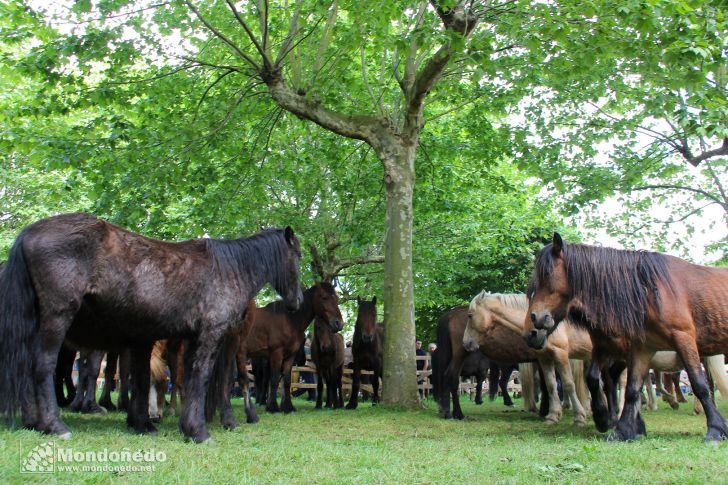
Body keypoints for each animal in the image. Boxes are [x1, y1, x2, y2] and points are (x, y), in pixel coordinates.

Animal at [0, 212, 302, 442]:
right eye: (298, 256)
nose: (297, 301)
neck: (229, 270)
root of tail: (29, 232)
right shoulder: (210, 336)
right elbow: (200, 379)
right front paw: (198, 431)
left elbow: (173, 380)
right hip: (57, 318)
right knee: (43, 365)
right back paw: (55, 425)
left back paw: (35, 421)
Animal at [236, 282, 344, 418]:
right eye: (324, 297)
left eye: (336, 298)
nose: (339, 324)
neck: (290, 320)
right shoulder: (276, 354)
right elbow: (274, 380)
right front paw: (273, 408)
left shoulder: (290, 357)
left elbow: (286, 381)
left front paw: (288, 407)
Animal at [464, 292, 596, 424]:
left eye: (470, 315)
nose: (465, 342)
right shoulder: (544, 357)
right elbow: (551, 385)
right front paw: (553, 416)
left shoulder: (561, 354)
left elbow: (568, 384)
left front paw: (579, 417)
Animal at [528, 233, 728, 440]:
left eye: (547, 275)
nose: (535, 321)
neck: (650, 292)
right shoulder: (624, 348)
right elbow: (617, 384)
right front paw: (614, 423)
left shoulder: (682, 339)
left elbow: (698, 383)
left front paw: (715, 428)